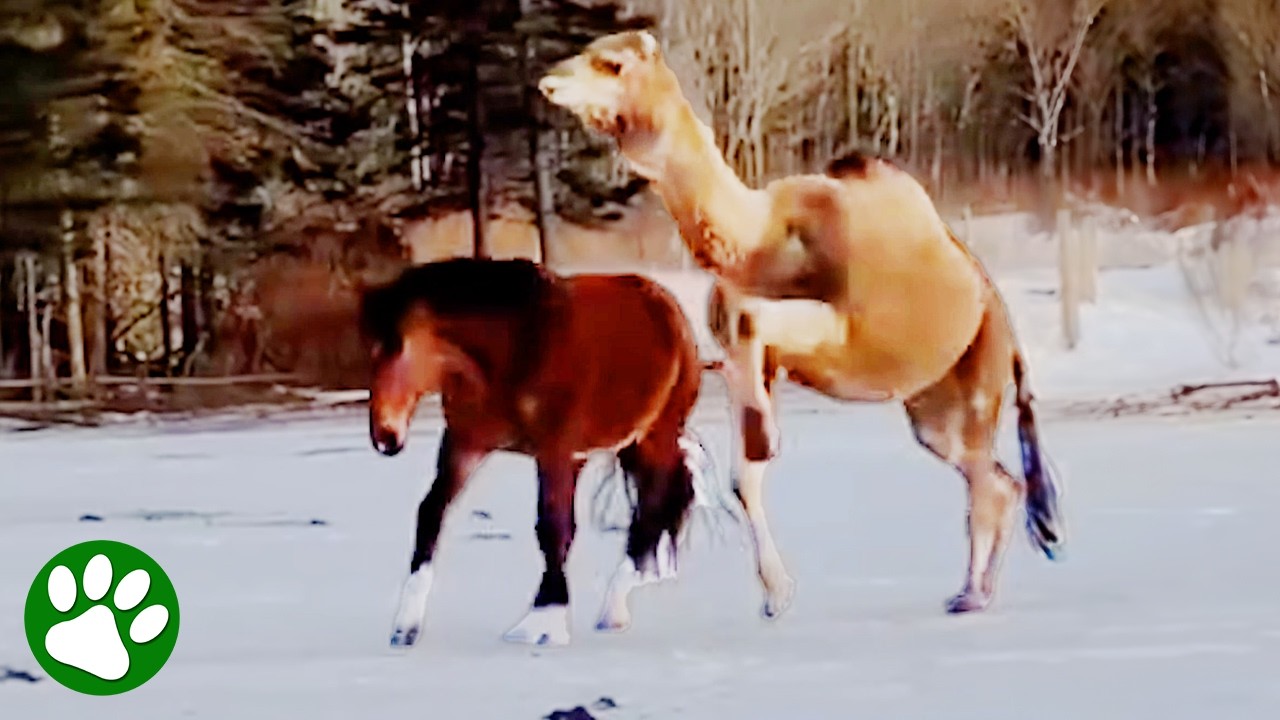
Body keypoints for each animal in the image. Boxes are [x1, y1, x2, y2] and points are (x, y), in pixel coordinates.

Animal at [359, 257, 717, 647]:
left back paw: (616, 605)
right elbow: (430, 514)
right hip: (622, 446)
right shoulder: (464, 443)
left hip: (655, 435)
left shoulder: (553, 450)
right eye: (370, 352)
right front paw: (405, 626)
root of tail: (669, 309)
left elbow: (552, 527)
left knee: (654, 508)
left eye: (399, 347)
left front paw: (544, 620)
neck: (517, 347)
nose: (385, 436)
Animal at [538, 30, 1066, 619]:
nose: (551, 80)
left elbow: (756, 360)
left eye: (612, 63)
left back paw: (975, 593)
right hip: (932, 402)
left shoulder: (844, 332)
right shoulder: (757, 351)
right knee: (992, 477)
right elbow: (743, 471)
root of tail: (998, 314)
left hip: (979, 373)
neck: (767, 244)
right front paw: (775, 592)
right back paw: (972, 590)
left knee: (990, 481)